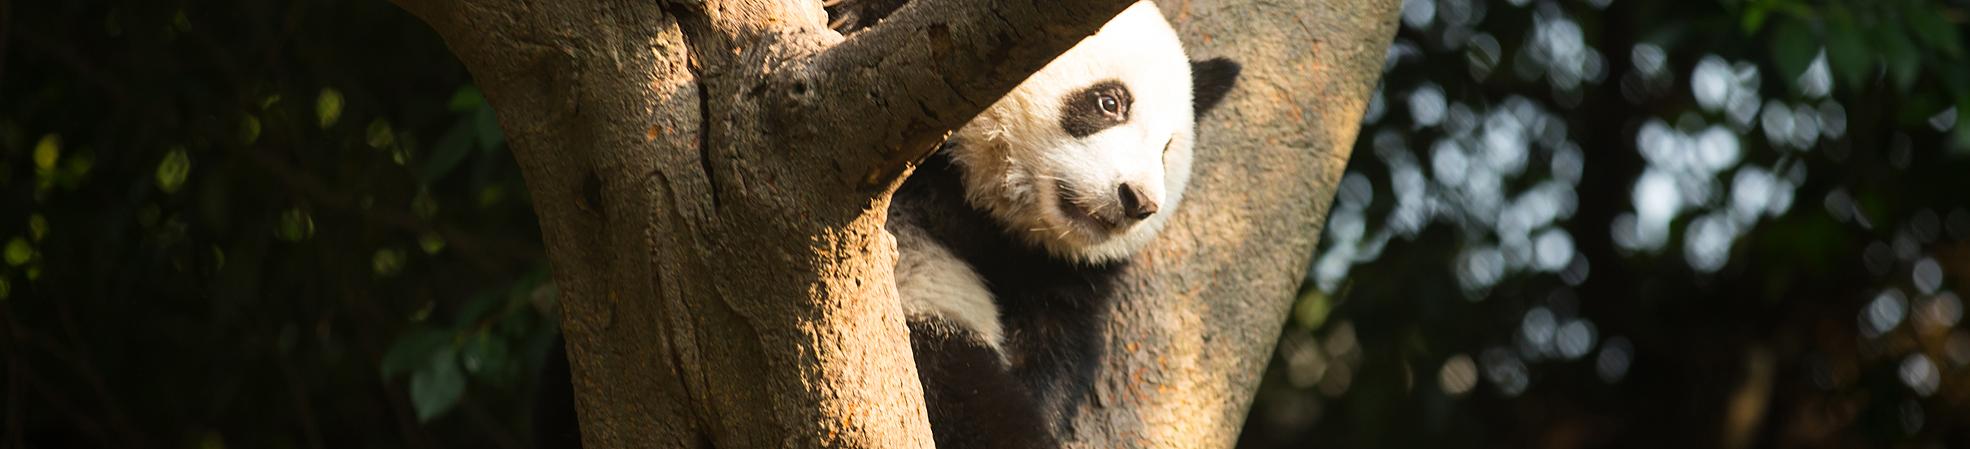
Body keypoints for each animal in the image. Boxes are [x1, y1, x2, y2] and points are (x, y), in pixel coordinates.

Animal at [536, 2, 1238, 448]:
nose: (1136, 201)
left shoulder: (1047, 268)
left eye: (1169, 149)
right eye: (1109, 102)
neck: (969, 194)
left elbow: (1054, 348)